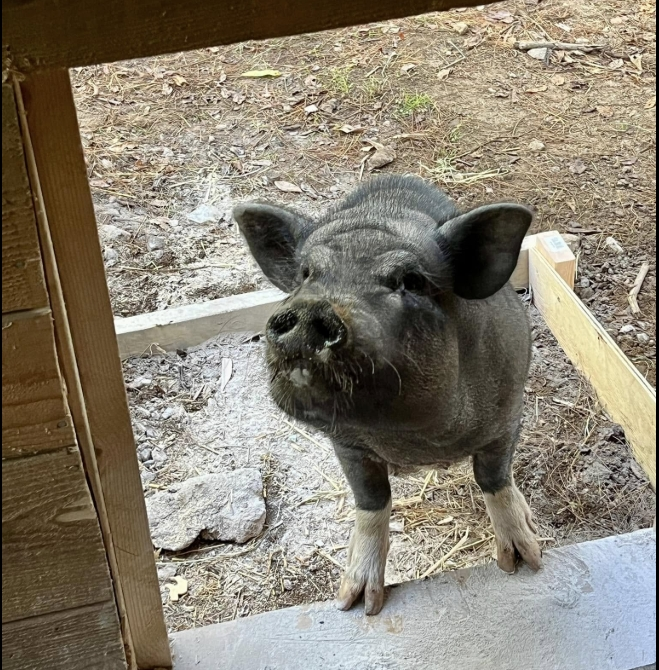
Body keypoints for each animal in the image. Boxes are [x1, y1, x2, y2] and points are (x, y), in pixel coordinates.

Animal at [233, 174, 541, 616]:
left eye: (410, 280)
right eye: (306, 274)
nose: (311, 311)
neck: (415, 441)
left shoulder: (506, 417)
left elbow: (494, 479)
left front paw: (523, 562)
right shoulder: (346, 445)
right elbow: (371, 501)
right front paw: (357, 603)